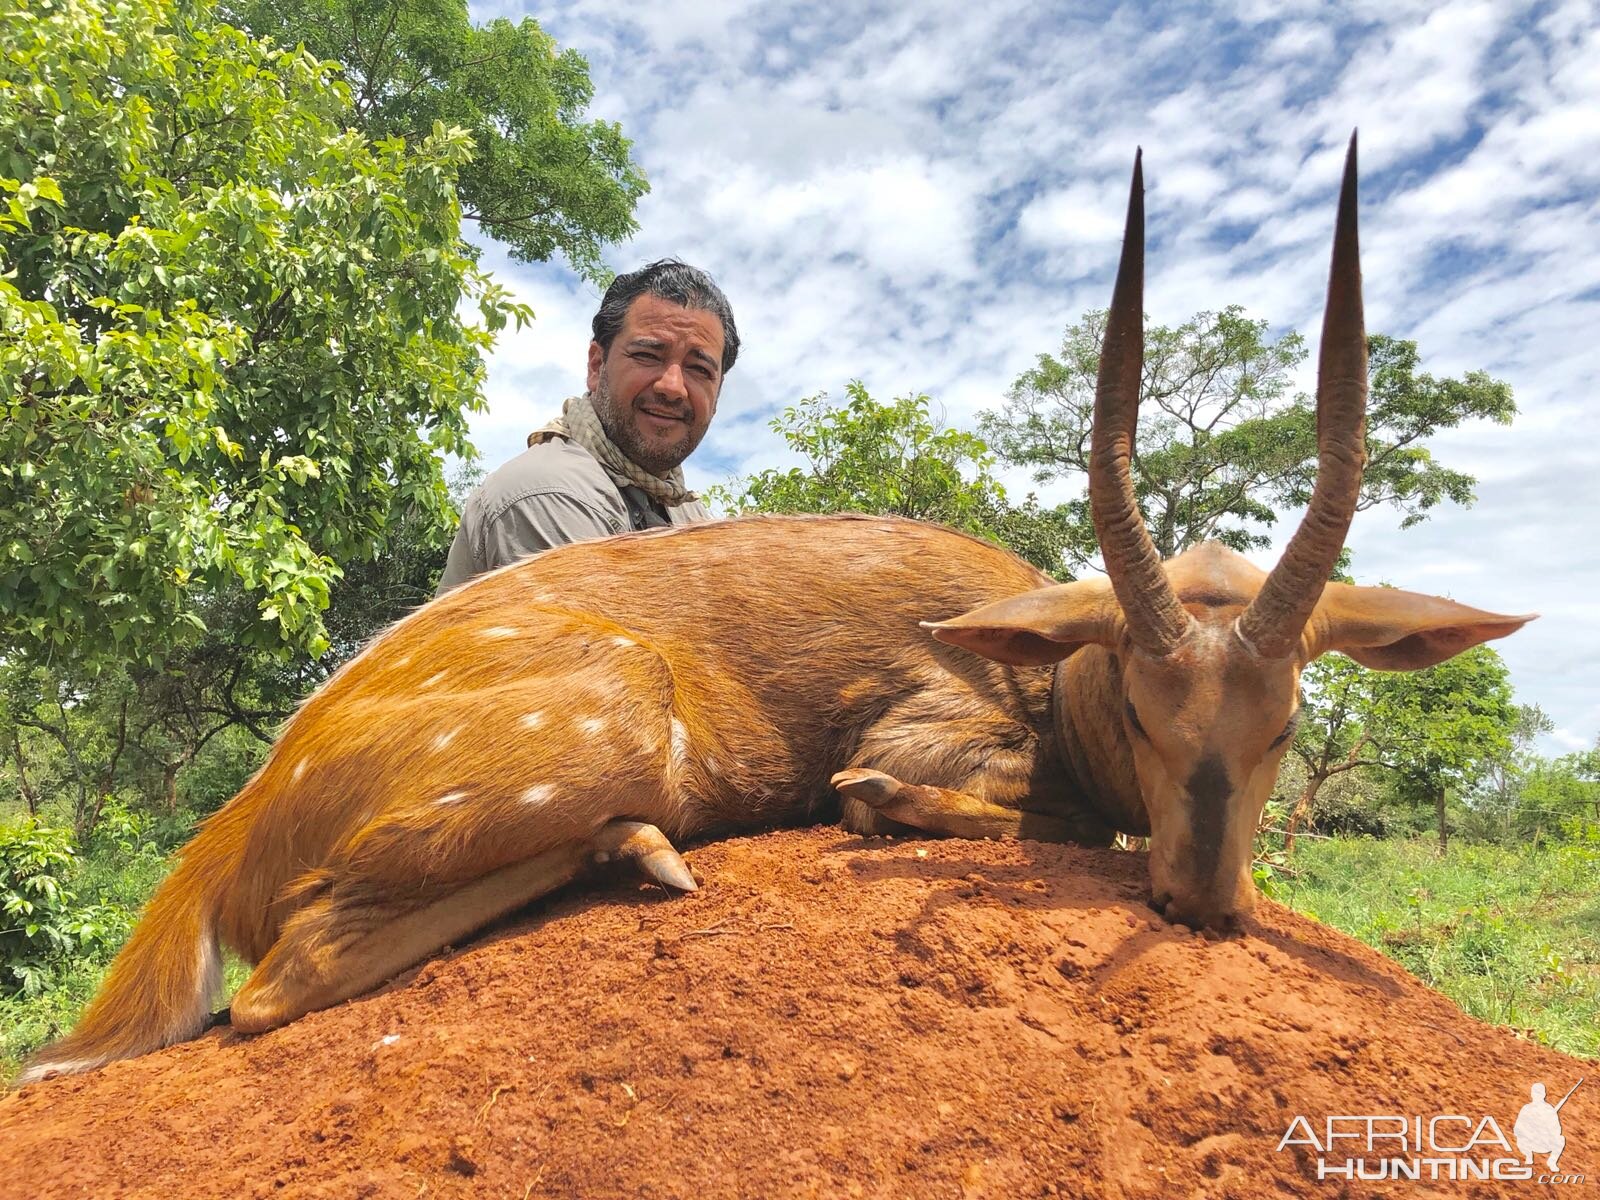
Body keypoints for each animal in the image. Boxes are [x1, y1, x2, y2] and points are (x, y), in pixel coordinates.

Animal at [18, 136, 1529, 1088]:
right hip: (611, 723)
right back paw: (640, 852)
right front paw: (880, 807)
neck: (1044, 656)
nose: (1208, 902)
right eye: (1151, 716)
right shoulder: (935, 730)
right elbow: (1001, 808)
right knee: (277, 984)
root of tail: (235, 821)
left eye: (1282, 725)